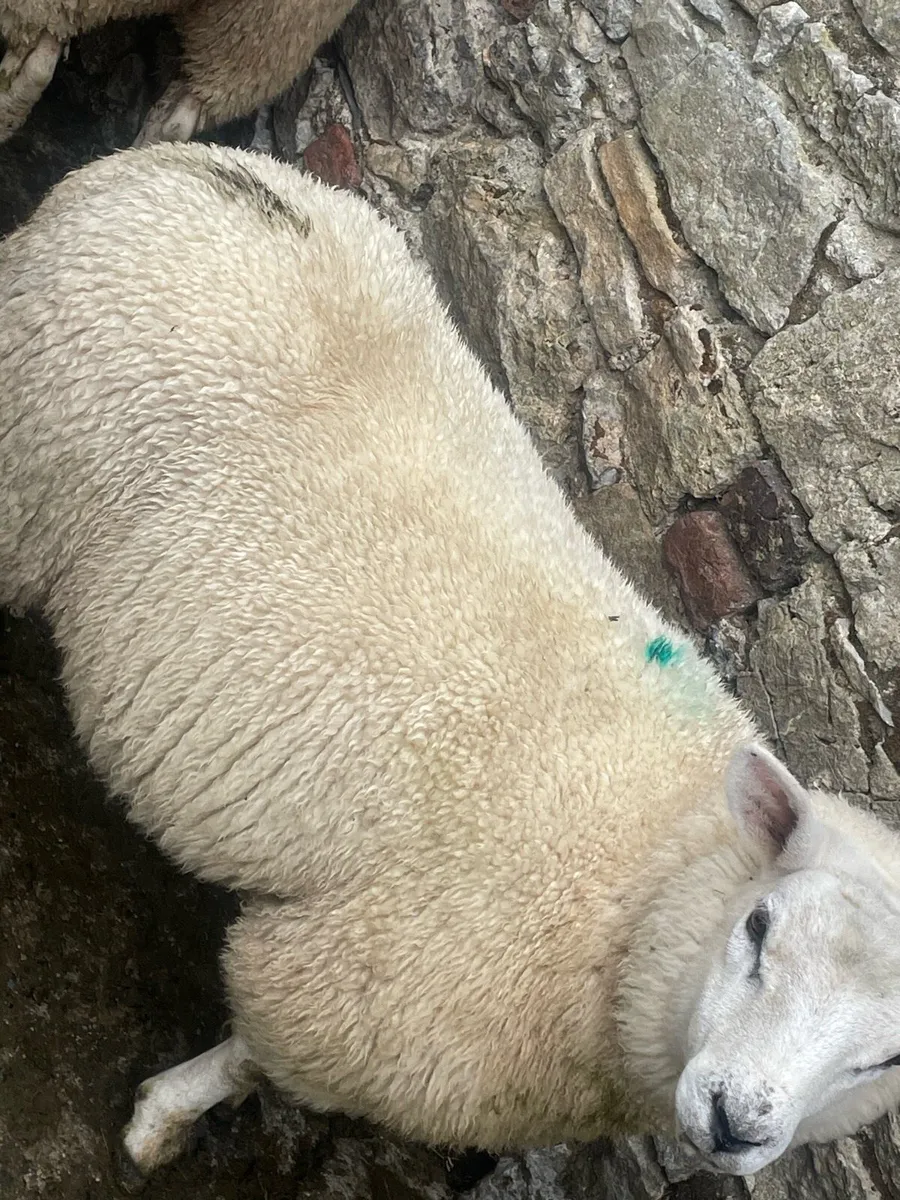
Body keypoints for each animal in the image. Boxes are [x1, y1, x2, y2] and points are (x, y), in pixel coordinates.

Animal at [3, 140, 900, 1184]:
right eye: (758, 930)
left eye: (885, 1059)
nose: (735, 1119)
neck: (645, 879)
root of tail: (173, 163)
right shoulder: (353, 993)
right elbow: (252, 1053)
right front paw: (163, 1119)